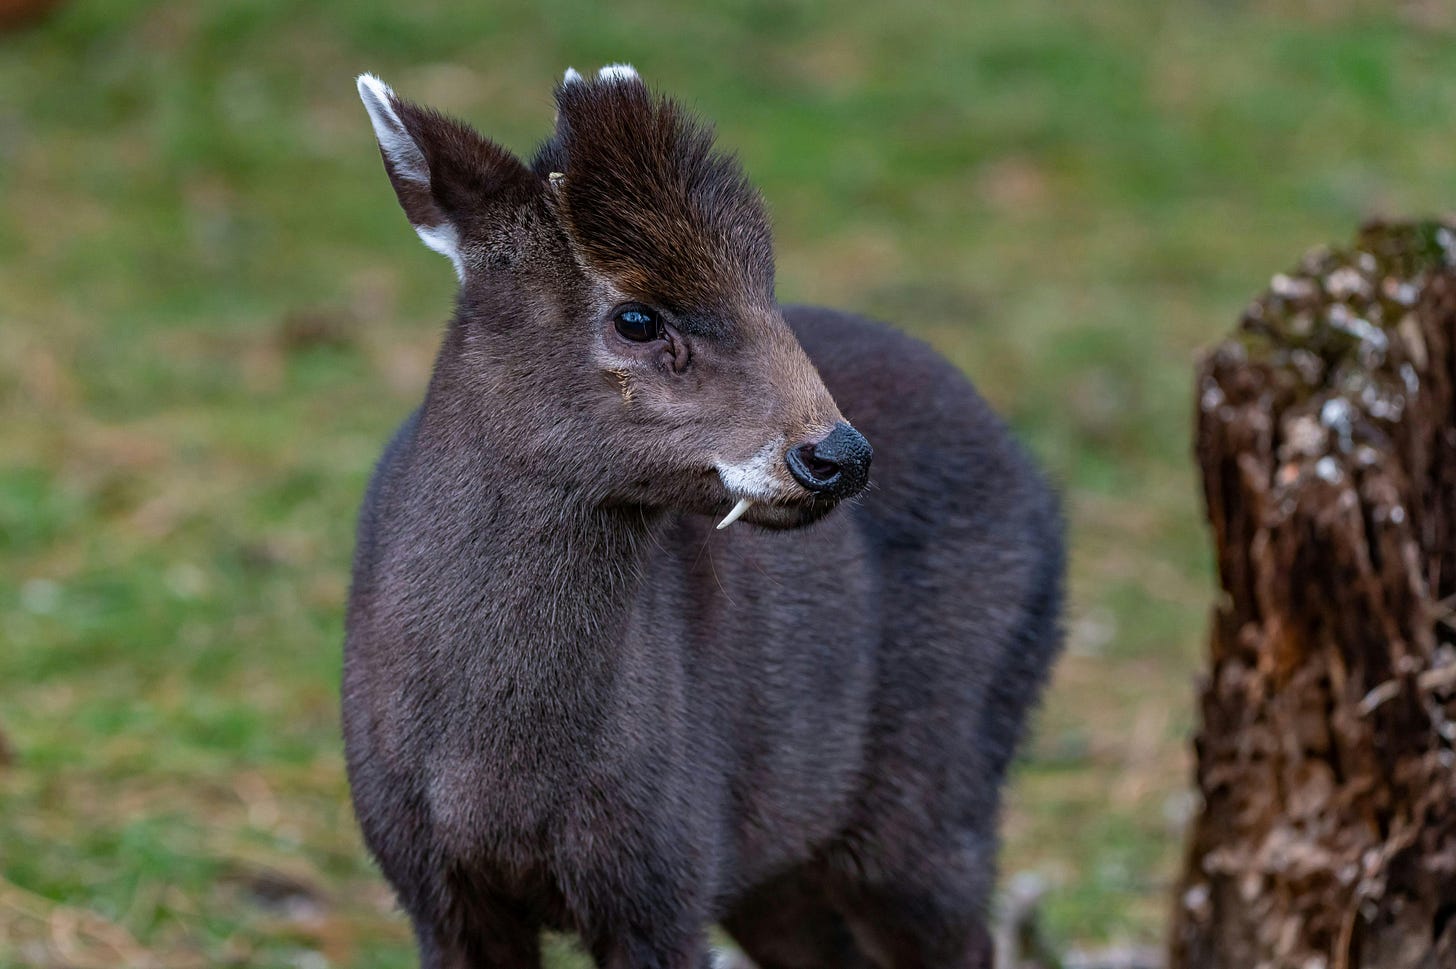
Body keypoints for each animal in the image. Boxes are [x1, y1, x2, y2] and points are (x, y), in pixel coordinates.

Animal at [343, 63, 1064, 969]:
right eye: (637, 315)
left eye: (767, 291)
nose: (836, 454)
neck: (494, 774)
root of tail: (1044, 491)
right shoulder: (429, 881)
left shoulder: (665, 871)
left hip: (939, 786)